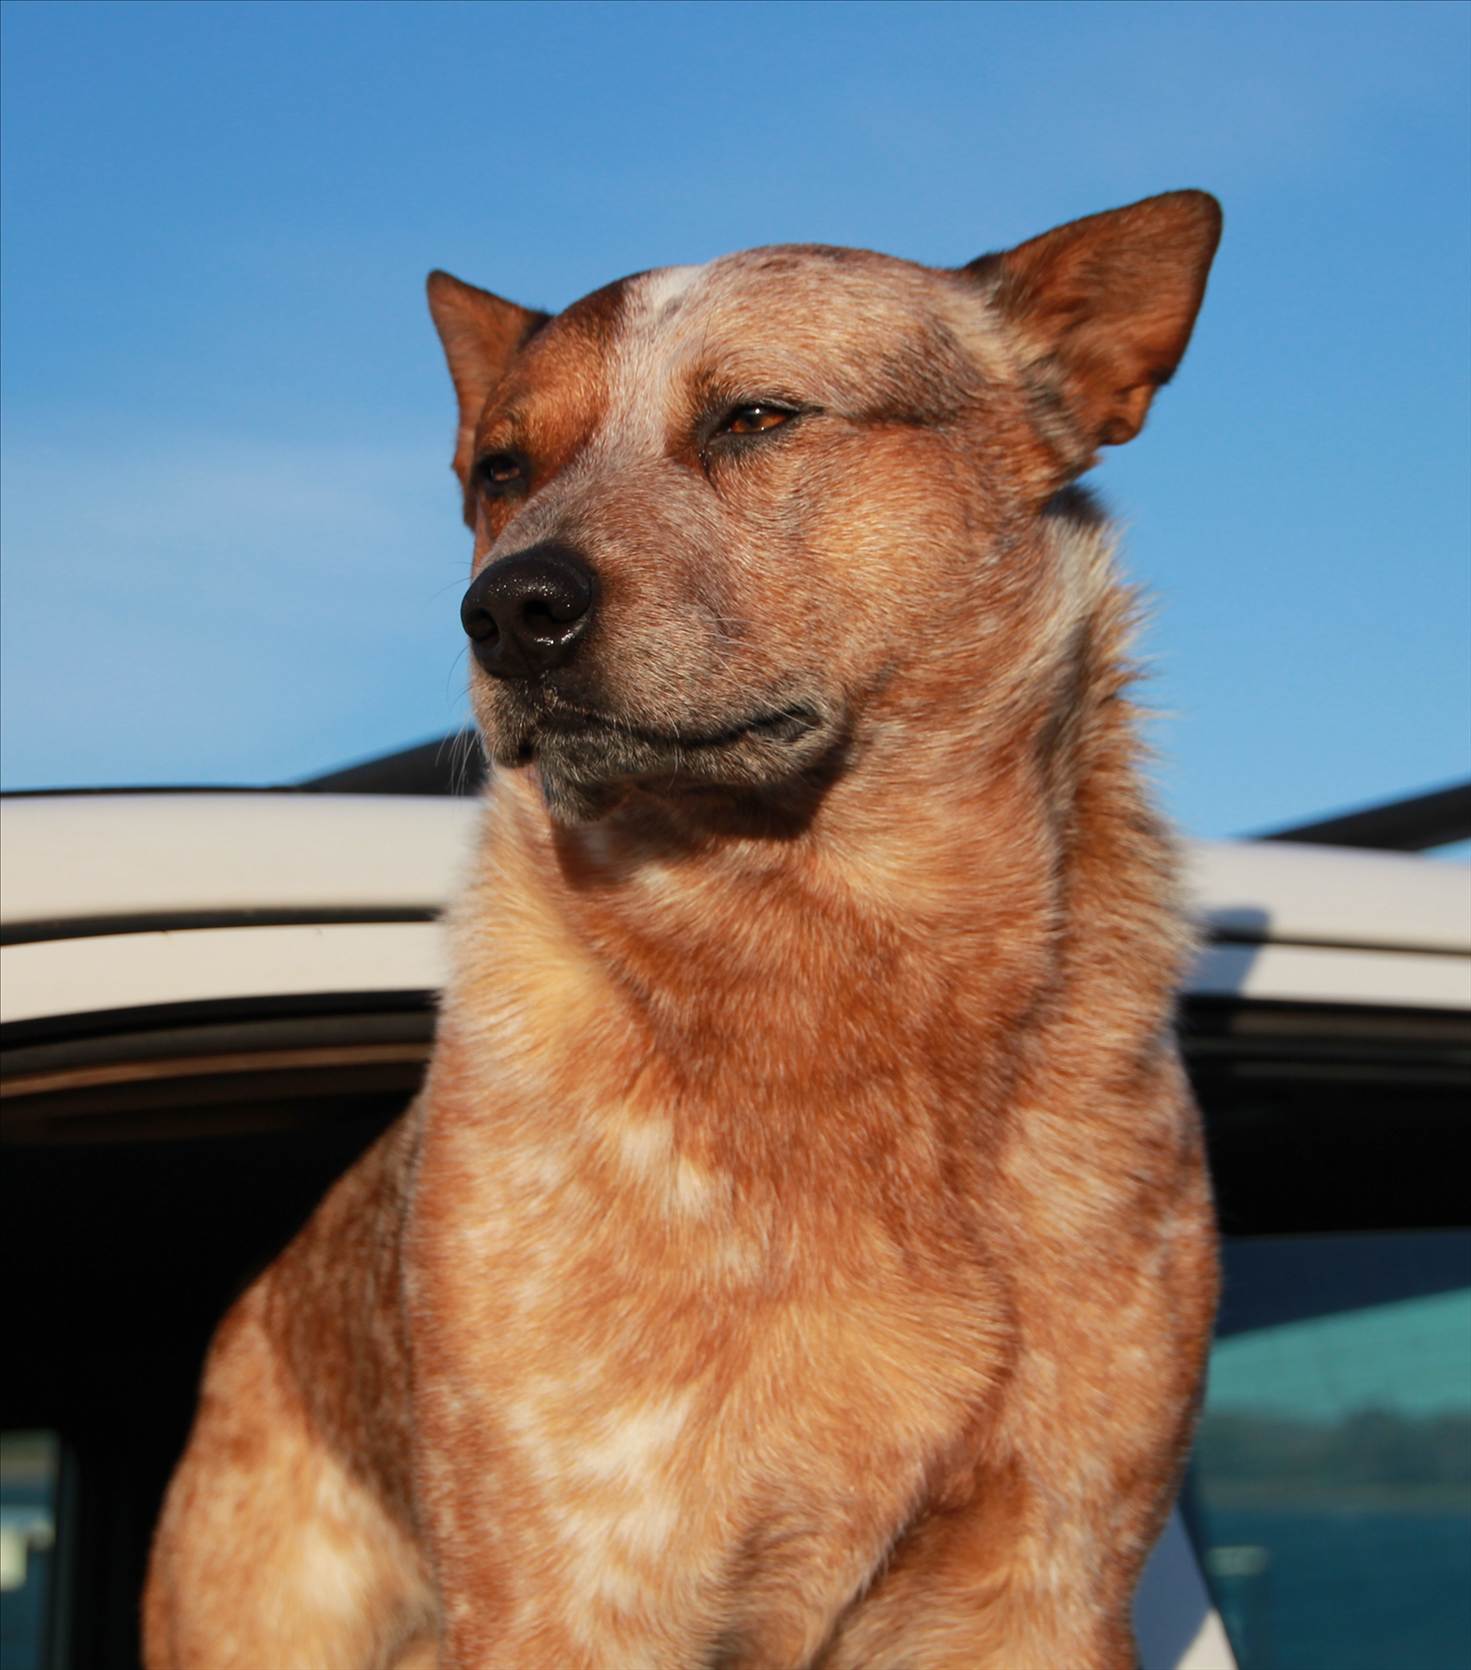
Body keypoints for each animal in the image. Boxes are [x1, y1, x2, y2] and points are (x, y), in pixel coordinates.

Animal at [145, 189, 1221, 1669]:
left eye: (755, 418)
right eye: (500, 468)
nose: (508, 609)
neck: (833, 956)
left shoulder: (1042, 1581)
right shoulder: (576, 1579)